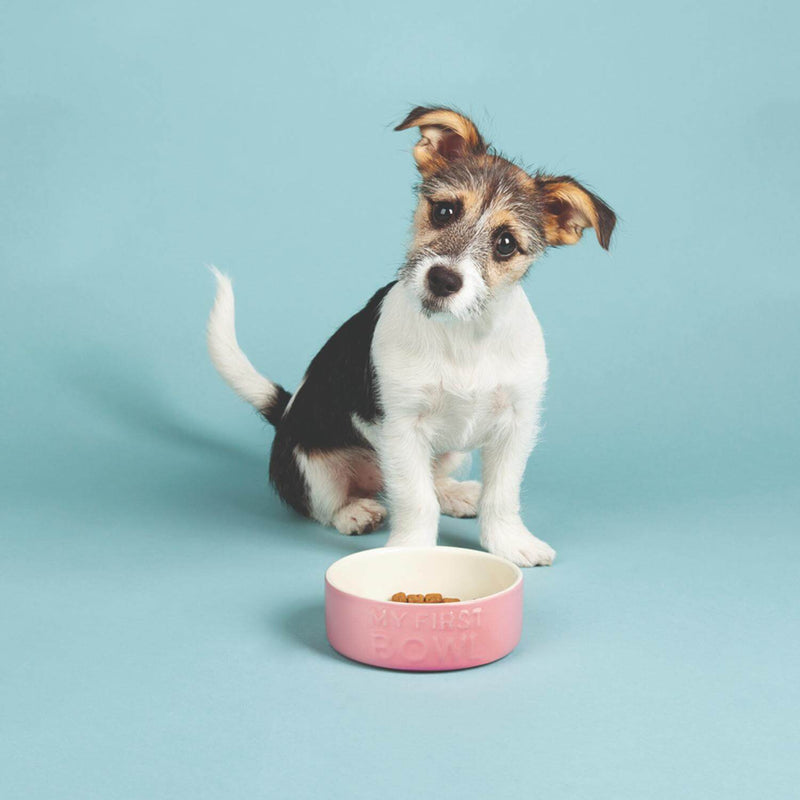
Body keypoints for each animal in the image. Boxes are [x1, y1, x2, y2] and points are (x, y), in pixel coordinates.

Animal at [205, 106, 612, 564]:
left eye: (506, 243)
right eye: (445, 212)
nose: (443, 279)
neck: (462, 334)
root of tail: (286, 411)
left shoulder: (515, 424)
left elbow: (502, 495)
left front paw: (509, 541)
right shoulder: (401, 429)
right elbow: (415, 500)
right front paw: (411, 553)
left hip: (452, 453)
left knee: (435, 481)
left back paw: (456, 494)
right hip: (309, 464)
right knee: (326, 504)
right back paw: (355, 512)